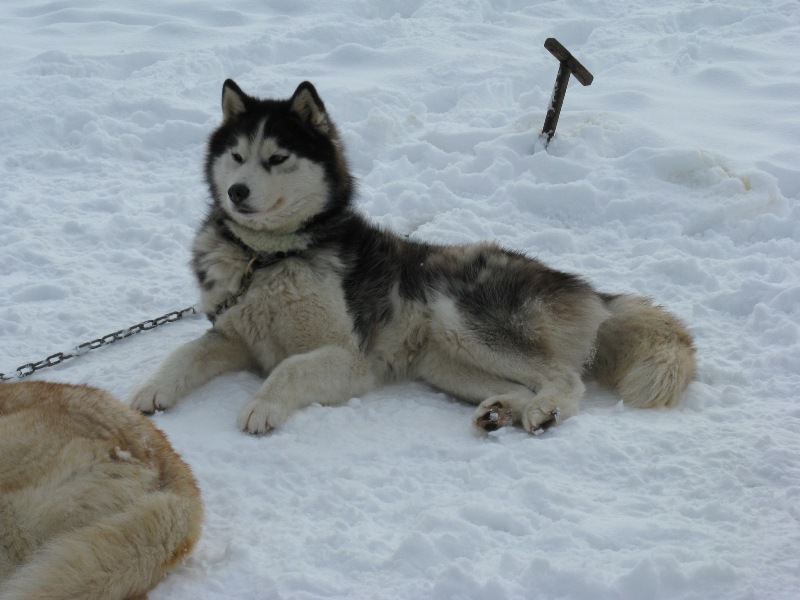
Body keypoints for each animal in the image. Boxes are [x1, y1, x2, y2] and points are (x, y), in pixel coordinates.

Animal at [130, 81, 692, 436]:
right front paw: (150, 391)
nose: (237, 192)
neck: (268, 258)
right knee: (519, 383)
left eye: (277, 157)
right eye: (237, 155)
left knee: (563, 378)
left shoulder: (352, 357)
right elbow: (184, 353)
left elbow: (288, 369)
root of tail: (591, 290)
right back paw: (500, 411)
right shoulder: (233, 335)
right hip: (444, 361)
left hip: (461, 317)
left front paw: (262, 406)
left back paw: (547, 410)